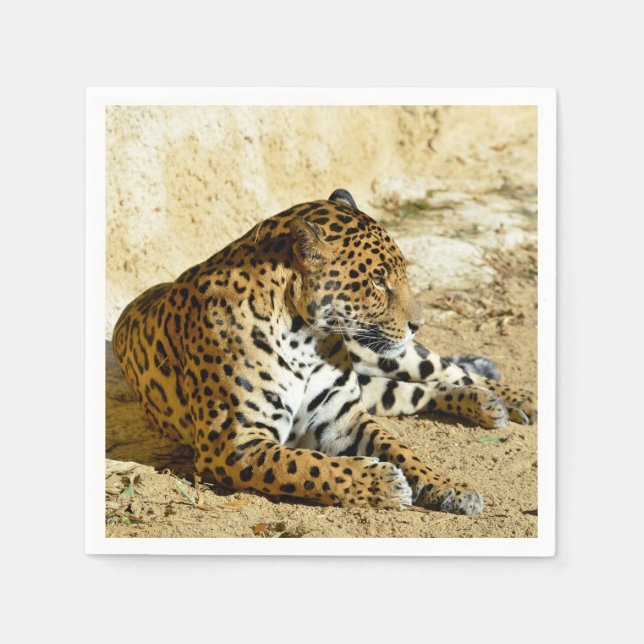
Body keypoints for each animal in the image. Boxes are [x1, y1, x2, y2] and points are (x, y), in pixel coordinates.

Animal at [112, 189, 537, 515]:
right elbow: (306, 466)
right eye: (377, 280)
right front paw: (382, 482)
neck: (304, 339)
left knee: (450, 371)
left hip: (392, 353)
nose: (420, 322)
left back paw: (515, 399)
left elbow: (400, 448)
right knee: (420, 392)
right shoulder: (234, 442)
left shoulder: (344, 417)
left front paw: (448, 485)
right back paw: (485, 404)